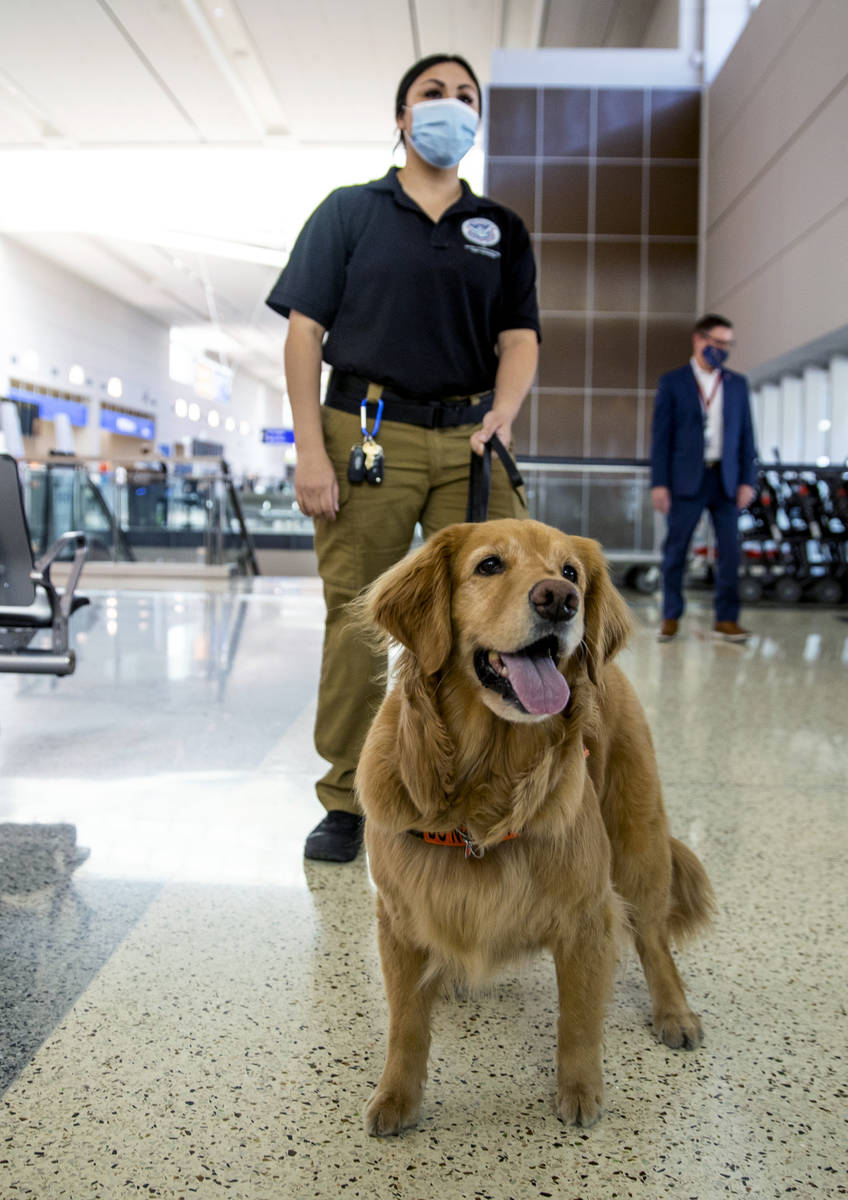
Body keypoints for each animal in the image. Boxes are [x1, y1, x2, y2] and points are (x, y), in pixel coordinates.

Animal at [355, 518, 714, 1132]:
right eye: (489, 565)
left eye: (570, 571)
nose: (560, 599)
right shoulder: (399, 917)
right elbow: (406, 1024)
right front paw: (397, 1096)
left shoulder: (587, 916)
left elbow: (579, 1018)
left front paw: (580, 1089)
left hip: (637, 841)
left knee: (653, 938)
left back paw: (674, 1012)